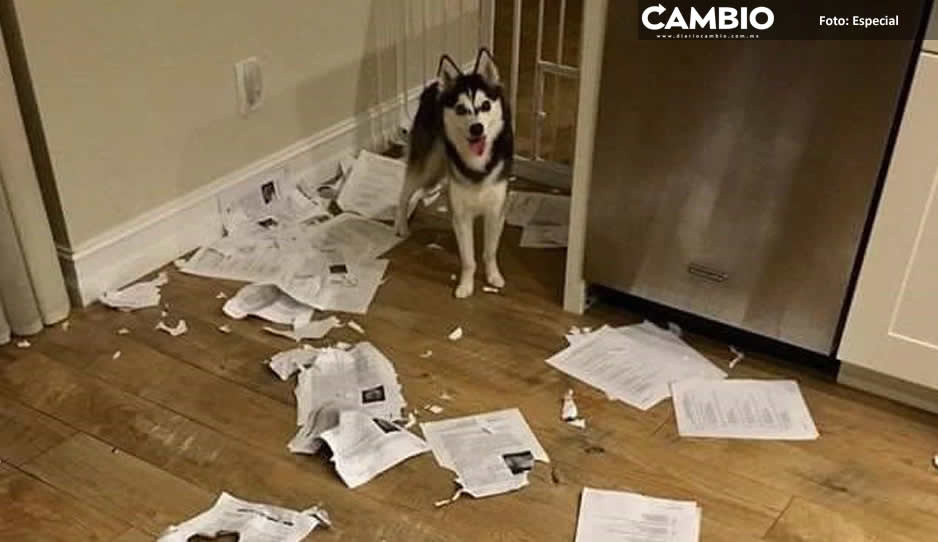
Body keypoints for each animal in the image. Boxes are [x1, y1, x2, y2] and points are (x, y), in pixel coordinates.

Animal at [394, 49, 512, 300]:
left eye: (485, 105)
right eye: (460, 109)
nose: (477, 128)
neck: (478, 164)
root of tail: (434, 87)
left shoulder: (496, 210)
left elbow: (489, 251)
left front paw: (493, 276)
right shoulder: (462, 215)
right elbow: (468, 259)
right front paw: (465, 285)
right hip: (427, 167)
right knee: (405, 192)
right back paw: (401, 224)